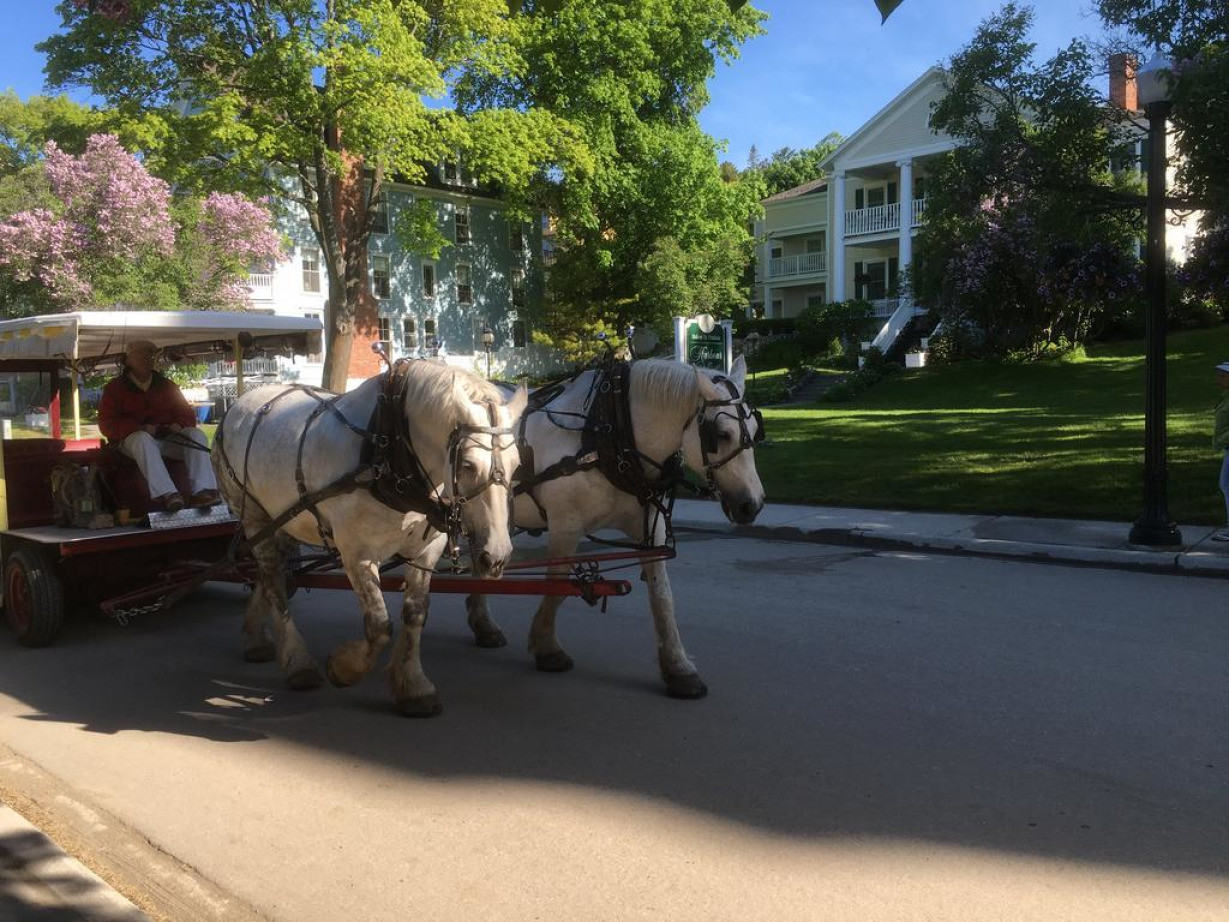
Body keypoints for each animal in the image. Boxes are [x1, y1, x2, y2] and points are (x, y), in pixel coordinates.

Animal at [213, 360, 527, 717]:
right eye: (469, 465)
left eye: (517, 465)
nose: (497, 556)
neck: (388, 449)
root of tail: (237, 404)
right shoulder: (357, 553)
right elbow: (378, 625)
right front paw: (343, 668)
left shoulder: (426, 550)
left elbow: (415, 614)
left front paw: (413, 686)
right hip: (253, 516)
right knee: (276, 583)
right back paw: (298, 663)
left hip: (284, 519)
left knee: (269, 576)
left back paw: (256, 638)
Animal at [464, 355, 765, 698]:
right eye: (721, 434)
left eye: (756, 431)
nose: (752, 504)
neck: (611, 433)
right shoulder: (565, 526)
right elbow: (558, 585)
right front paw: (547, 647)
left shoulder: (651, 529)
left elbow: (663, 598)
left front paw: (678, 668)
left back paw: (483, 622)